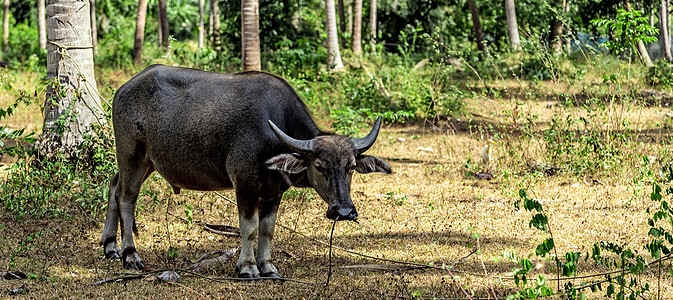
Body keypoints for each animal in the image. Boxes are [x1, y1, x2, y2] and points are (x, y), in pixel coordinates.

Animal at [101, 64, 392, 278]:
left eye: (351, 167)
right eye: (319, 167)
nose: (344, 211)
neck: (273, 130)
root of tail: (122, 90)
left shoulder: (273, 191)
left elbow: (267, 230)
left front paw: (268, 266)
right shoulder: (245, 182)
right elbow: (249, 227)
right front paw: (248, 267)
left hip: (148, 162)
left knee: (114, 185)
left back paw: (110, 247)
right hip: (132, 154)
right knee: (127, 197)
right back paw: (130, 255)